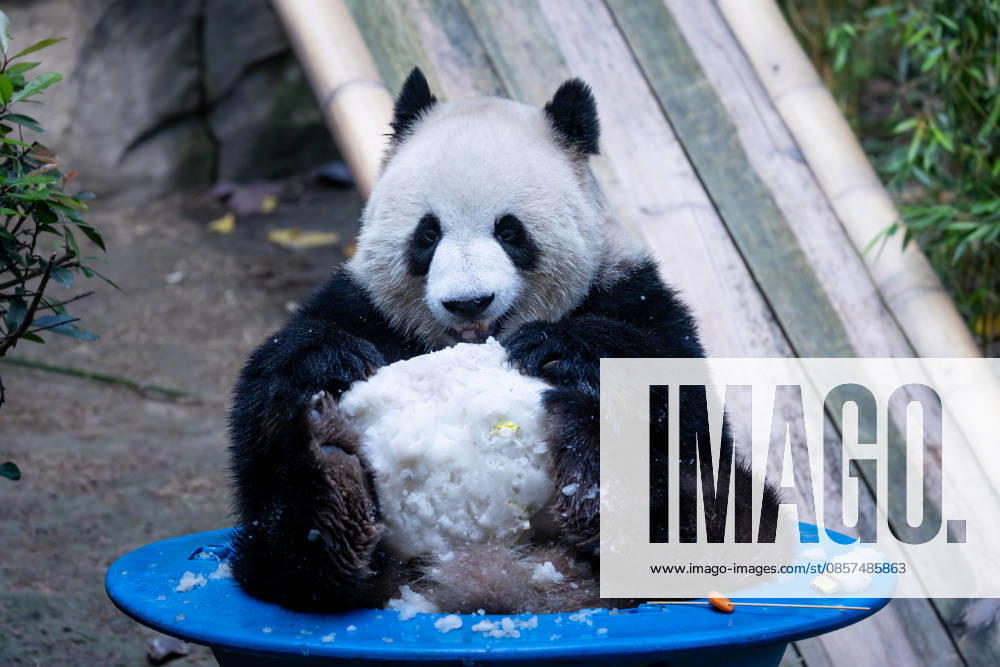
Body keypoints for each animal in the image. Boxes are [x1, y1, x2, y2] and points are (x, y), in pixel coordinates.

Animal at [228, 68, 780, 613]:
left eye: (510, 232)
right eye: (427, 234)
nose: (468, 302)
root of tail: (498, 577)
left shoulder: (634, 292)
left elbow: (688, 410)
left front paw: (558, 346)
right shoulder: (360, 305)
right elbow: (259, 425)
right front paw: (327, 361)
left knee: (725, 512)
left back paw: (592, 463)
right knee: (282, 550)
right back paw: (333, 497)